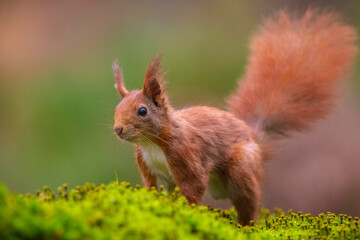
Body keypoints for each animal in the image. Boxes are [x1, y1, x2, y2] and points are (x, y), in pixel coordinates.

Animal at [112, 9, 358, 226]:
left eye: (142, 111)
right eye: (116, 108)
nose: (118, 129)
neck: (152, 143)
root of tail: (254, 137)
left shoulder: (186, 154)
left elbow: (193, 187)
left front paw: (182, 210)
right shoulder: (150, 169)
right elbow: (152, 189)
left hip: (242, 168)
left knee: (249, 202)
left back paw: (246, 224)